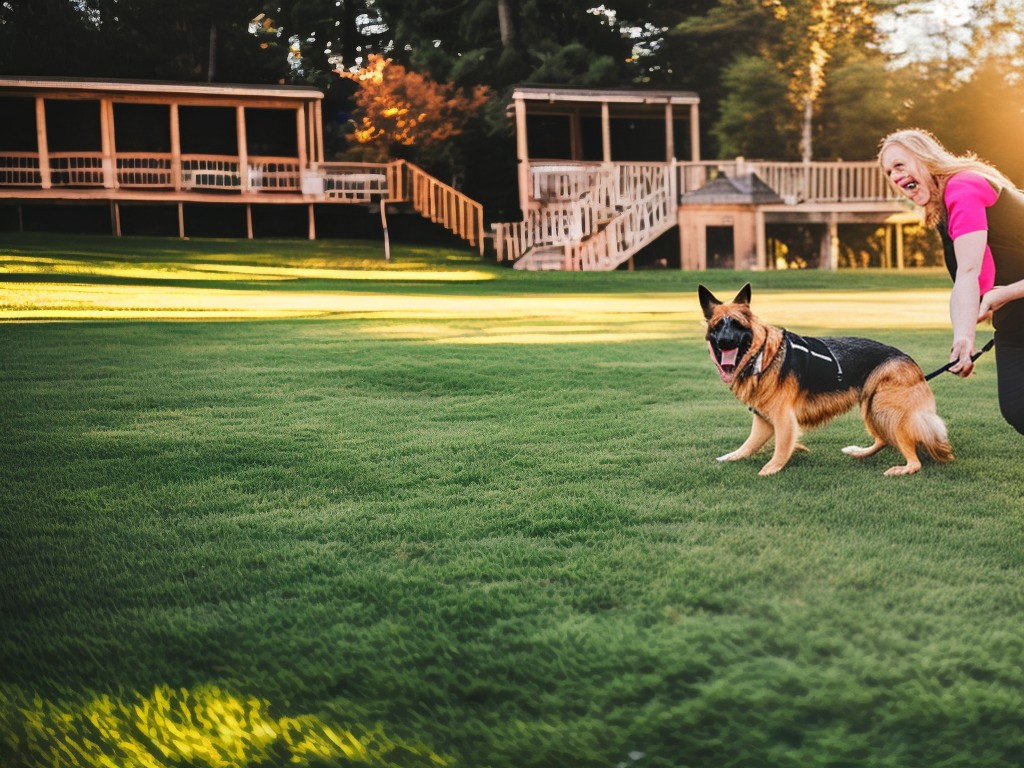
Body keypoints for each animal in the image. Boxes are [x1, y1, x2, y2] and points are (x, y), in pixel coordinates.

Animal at [700, 284, 954, 475]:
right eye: (718, 326)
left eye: (737, 325)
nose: (725, 342)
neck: (763, 355)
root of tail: (912, 363)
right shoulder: (763, 420)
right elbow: (748, 446)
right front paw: (731, 457)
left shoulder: (783, 419)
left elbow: (780, 449)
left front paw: (770, 469)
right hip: (871, 406)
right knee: (884, 439)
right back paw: (859, 453)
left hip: (884, 407)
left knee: (913, 460)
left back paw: (903, 467)